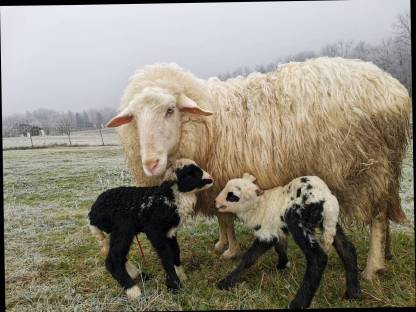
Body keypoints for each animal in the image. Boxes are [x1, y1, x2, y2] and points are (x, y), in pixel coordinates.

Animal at [106, 56, 410, 280]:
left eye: (170, 110)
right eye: (134, 118)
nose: (150, 164)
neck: (208, 124)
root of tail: (394, 90)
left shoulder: (221, 177)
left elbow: (225, 216)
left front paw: (229, 251)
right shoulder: (216, 181)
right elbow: (223, 217)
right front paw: (222, 244)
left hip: (366, 168)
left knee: (377, 217)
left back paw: (372, 267)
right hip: (385, 168)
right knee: (385, 210)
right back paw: (387, 254)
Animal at [214, 173, 360, 310]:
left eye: (232, 196)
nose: (215, 202)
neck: (259, 206)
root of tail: (327, 200)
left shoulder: (267, 234)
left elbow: (249, 257)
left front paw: (226, 282)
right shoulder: (279, 230)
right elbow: (280, 247)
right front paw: (282, 264)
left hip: (296, 220)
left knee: (317, 258)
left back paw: (298, 303)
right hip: (330, 224)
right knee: (347, 249)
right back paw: (353, 293)